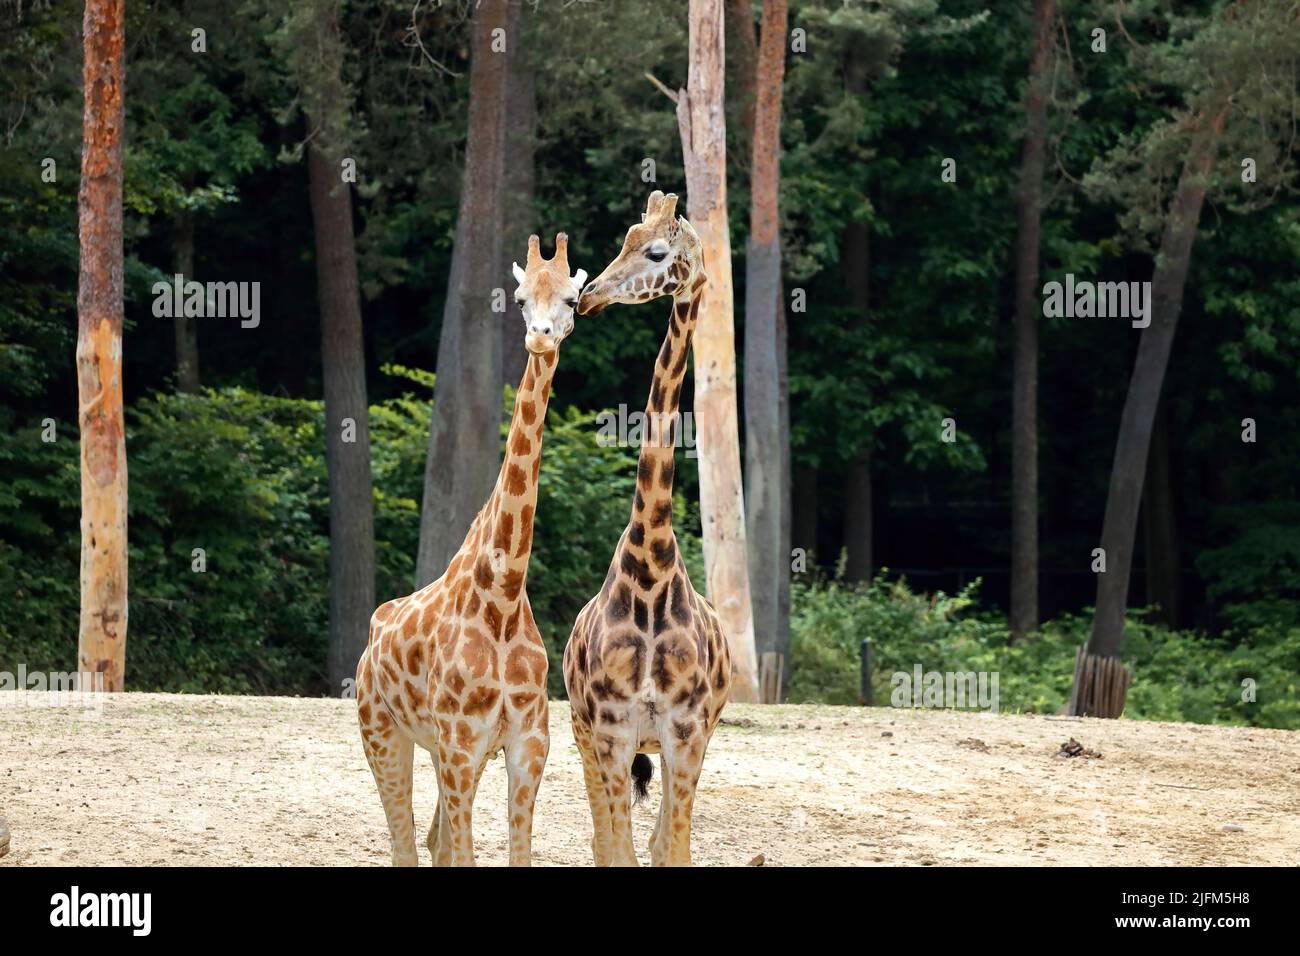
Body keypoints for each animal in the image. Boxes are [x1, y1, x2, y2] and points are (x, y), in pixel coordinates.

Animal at [355, 233, 587, 867]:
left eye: (572, 298)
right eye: (520, 297)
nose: (541, 336)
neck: (502, 594)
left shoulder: (527, 742)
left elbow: (511, 853)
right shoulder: (459, 742)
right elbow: (461, 852)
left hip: (445, 751)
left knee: (432, 840)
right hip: (382, 731)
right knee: (406, 843)